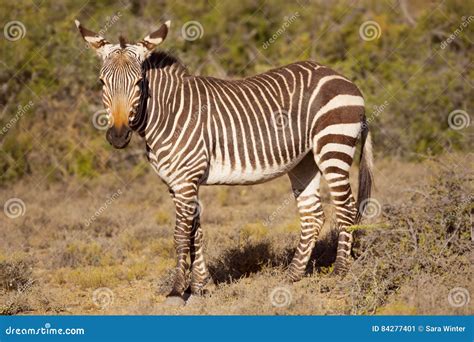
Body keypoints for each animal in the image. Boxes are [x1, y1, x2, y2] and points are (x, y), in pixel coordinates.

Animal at [77, 20, 374, 304]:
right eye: (101, 83)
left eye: (139, 82)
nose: (117, 136)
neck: (166, 114)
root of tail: (343, 78)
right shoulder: (177, 183)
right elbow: (195, 233)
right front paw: (201, 286)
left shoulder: (185, 180)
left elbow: (181, 235)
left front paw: (177, 291)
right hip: (305, 161)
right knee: (313, 215)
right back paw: (292, 275)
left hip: (333, 145)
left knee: (346, 208)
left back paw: (339, 272)